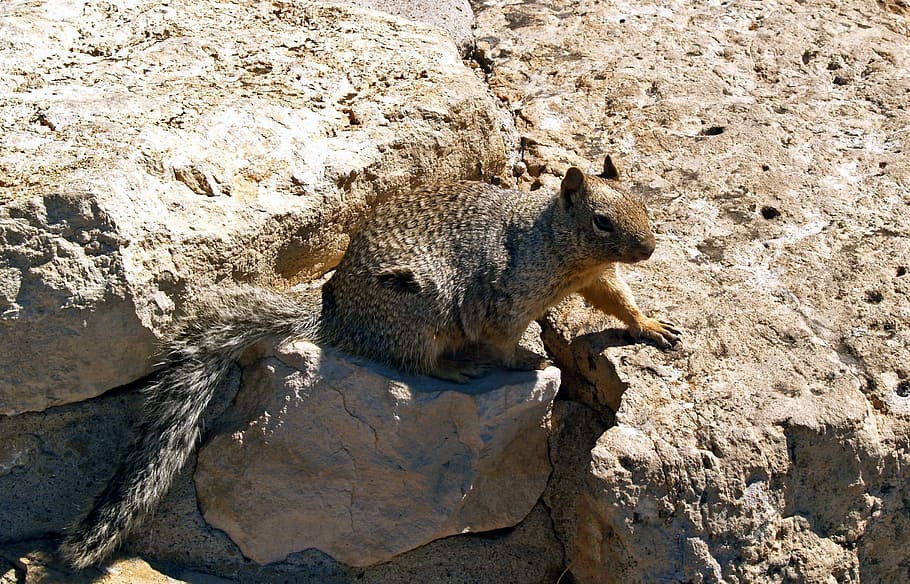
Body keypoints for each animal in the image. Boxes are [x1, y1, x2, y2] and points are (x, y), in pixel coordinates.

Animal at [59, 156, 679, 569]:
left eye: (646, 205)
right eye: (602, 221)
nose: (650, 248)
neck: (555, 245)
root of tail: (338, 315)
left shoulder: (596, 279)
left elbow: (617, 300)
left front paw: (651, 325)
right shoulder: (506, 298)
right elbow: (502, 341)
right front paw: (528, 361)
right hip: (424, 307)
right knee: (412, 360)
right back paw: (454, 369)